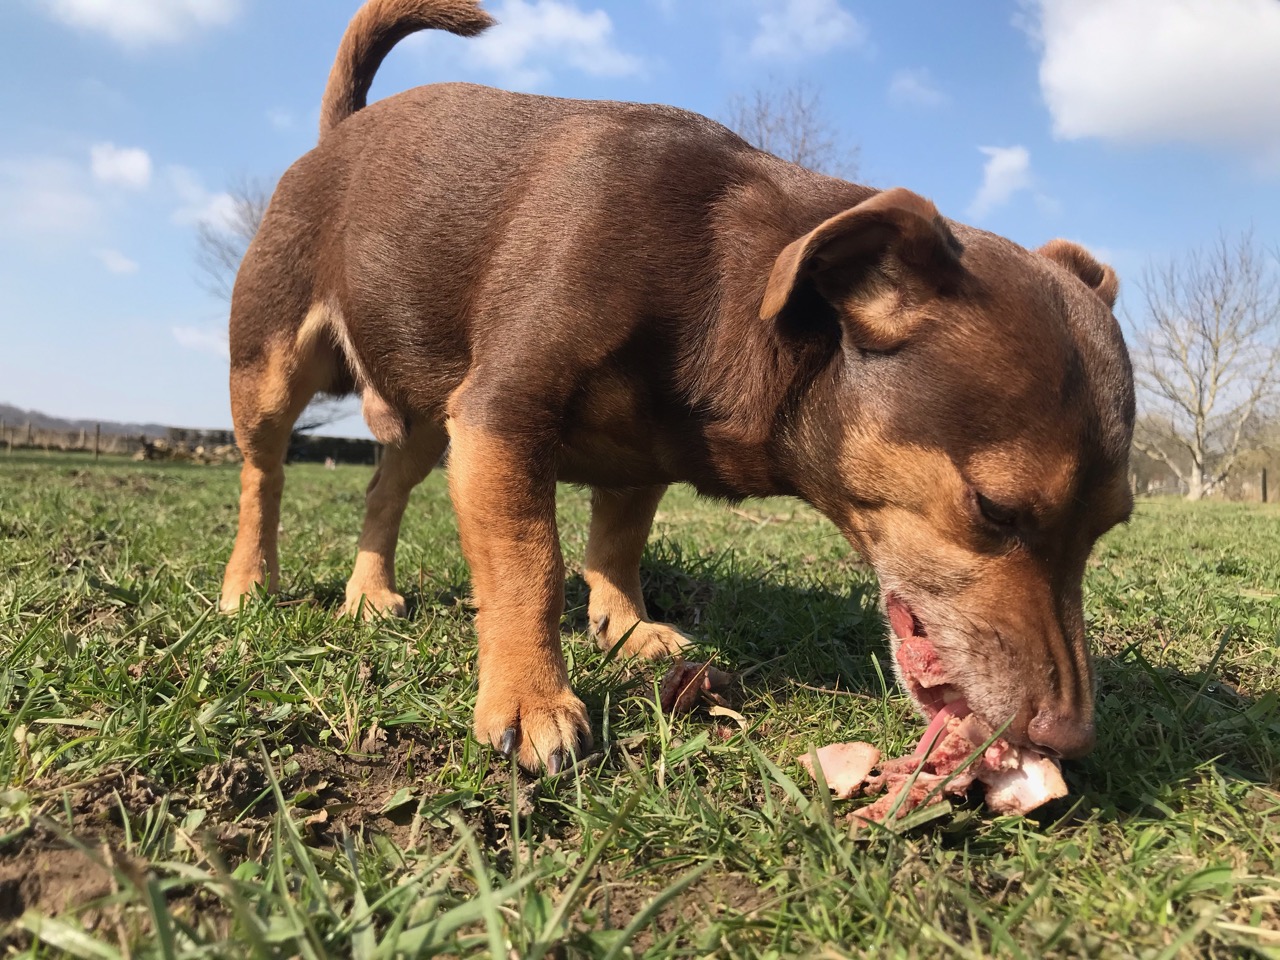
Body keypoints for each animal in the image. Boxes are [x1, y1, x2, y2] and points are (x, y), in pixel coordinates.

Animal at [217, 0, 1131, 778]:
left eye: (1110, 526)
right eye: (995, 510)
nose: (1070, 738)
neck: (723, 278)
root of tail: (341, 131)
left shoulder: (633, 451)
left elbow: (616, 548)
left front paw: (622, 629)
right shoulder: (502, 419)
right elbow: (530, 563)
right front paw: (532, 698)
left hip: (427, 411)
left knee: (383, 487)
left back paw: (368, 593)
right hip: (274, 367)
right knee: (263, 476)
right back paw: (248, 585)